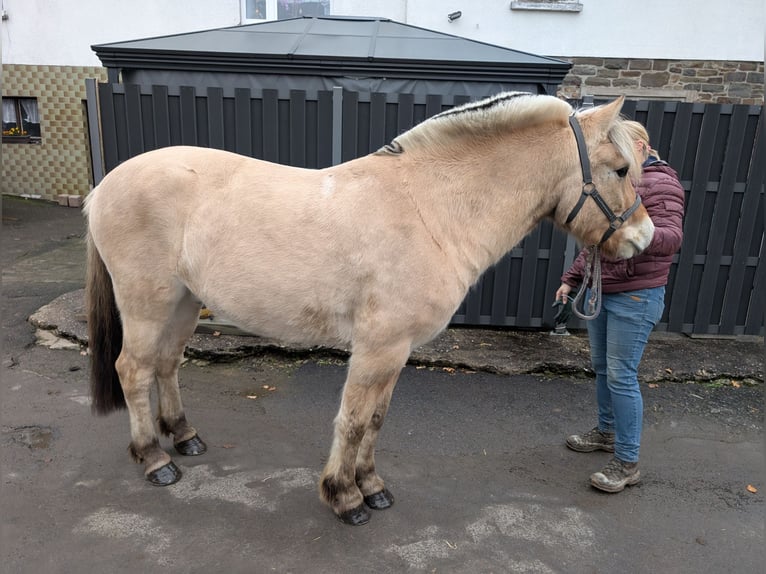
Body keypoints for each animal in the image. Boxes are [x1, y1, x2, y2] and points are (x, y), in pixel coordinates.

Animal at [87, 93, 656, 528]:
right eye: (620, 169)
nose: (644, 239)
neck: (430, 209)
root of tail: (104, 187)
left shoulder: (397, 351)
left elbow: (377, 419)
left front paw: (372, 487)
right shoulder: (377, 347)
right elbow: (354, 420)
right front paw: (344, 497)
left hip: (184, 301)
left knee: (166, 365)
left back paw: (184, 437)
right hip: (148, 302)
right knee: (133, 370)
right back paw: (154, 459)